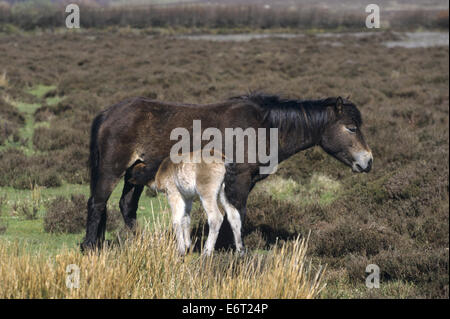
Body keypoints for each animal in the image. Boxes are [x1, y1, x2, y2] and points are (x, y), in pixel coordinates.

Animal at [81, 93, 372, 252]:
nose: (368, 161)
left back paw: (143, 242)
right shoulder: (240, 179)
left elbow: (234, 212)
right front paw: (234, 248)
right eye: (351, 128)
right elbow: (236, 212)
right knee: (97, 203)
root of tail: (108, 113)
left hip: (135, 174)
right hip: (112, 170)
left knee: (126, 205)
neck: (263, 127)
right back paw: (90, 246)